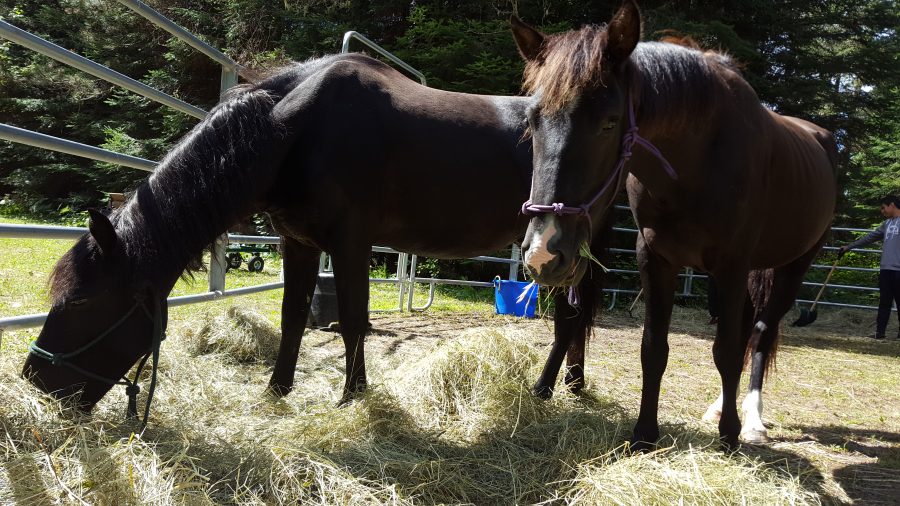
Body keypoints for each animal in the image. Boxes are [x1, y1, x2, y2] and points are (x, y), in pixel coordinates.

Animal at [22, 50, 612, 416]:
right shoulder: (299, 244)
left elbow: (352, 321)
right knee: (575, 319)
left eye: (80, 303)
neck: (293, 129)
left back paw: (547, 388)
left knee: (569, 319)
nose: (34, 382)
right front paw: (276, 389)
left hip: (567, 247)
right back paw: (572, 385)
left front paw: (353, 396)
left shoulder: (350, 244)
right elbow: (292, 318)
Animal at [510, 0, 840, 450]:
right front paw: (644, 435)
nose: (544, 251)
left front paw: (729, 435)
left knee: (761, 333)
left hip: (794, 266)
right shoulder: (656, 259)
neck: (697, 162)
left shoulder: (732, 263)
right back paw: (720, 407)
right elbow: (654, 349)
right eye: (533, 120)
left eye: (609, 121)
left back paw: (751, 420)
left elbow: (725, 350)